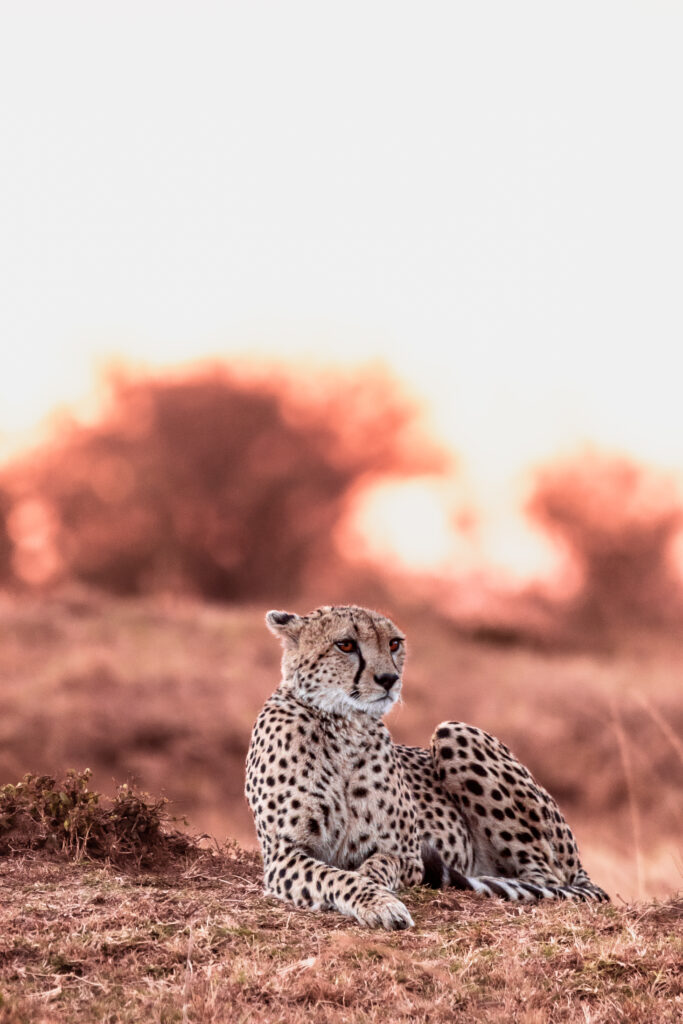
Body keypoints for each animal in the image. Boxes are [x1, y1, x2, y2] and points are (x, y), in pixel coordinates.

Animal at [245, 604, 608, 930]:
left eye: (394, 643)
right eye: (345, 644)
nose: (389, 679)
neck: (344, 725)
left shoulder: (406, 855)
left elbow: (377, 865)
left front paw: (377, 887)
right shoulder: (283, 854)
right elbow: (335, 876)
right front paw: (379, 903)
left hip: (454, 730)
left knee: (547, 881)